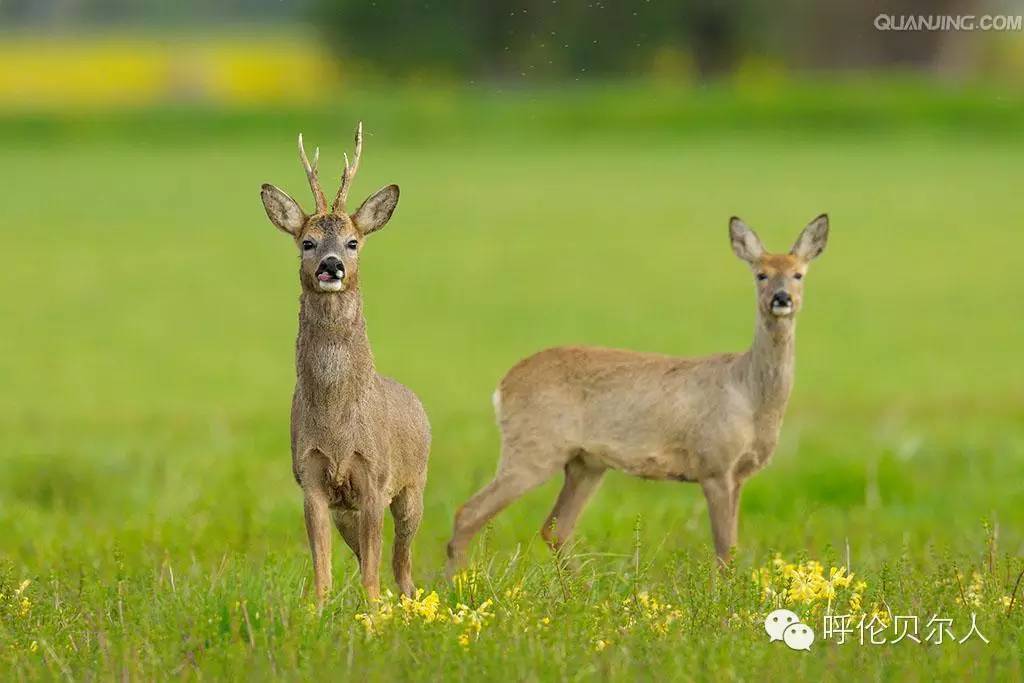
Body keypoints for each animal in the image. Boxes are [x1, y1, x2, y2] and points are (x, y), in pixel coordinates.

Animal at [260, 124, 432, 602]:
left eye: (353, 242)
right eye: (308, 241)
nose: (331, 265)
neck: (337, 423)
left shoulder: (375, 478)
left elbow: (373, 575)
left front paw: (372, 615)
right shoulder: (312, 481)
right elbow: (323, 574)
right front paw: (318, 613)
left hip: (413, 487)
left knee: (402, 564)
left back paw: (408, 602)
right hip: (346, 512)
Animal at [444, 214, 827, 573]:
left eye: (798, 274)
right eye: (760, 274)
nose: (781, 299)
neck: (749, 396)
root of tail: (503, 385)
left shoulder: (739, 475)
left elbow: (731, 547)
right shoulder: (714, 465)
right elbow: (723, 550)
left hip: (585, 463)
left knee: (555, 528)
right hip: (534, 449)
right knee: (468, 513)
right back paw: (458, 587)